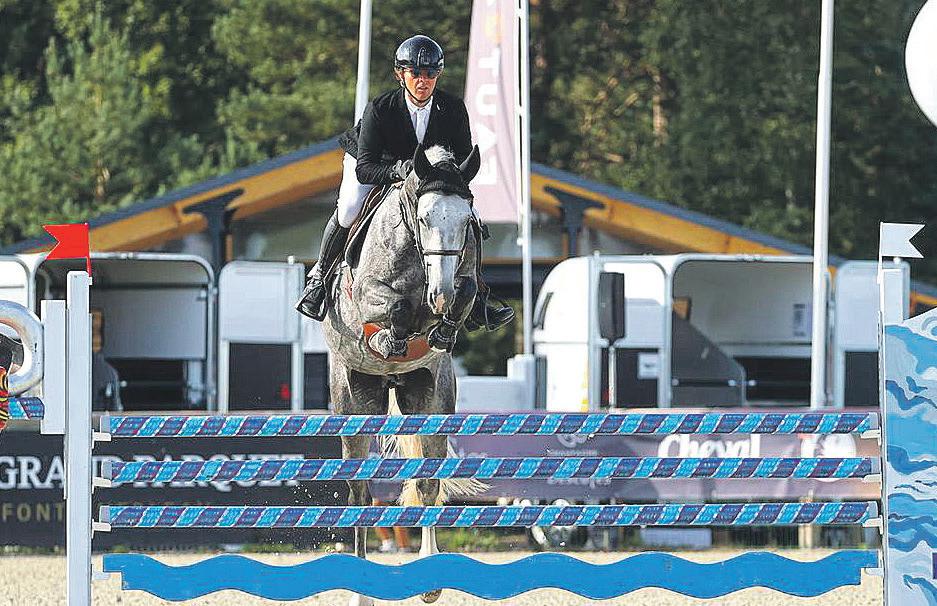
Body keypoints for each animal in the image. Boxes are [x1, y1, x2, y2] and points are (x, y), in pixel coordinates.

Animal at [322, 144, 486, 605]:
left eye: (466, 221)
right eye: (425, 217)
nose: (440, 294)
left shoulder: (460, 278)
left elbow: (466, 291)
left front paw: (443, 322)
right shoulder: (370, 296)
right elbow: (390, 306)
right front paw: (392, 336)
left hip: (429, 399)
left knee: (428, 482)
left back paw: (429, 581)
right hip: (355, 403)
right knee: (360, 492)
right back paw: (361, 590)